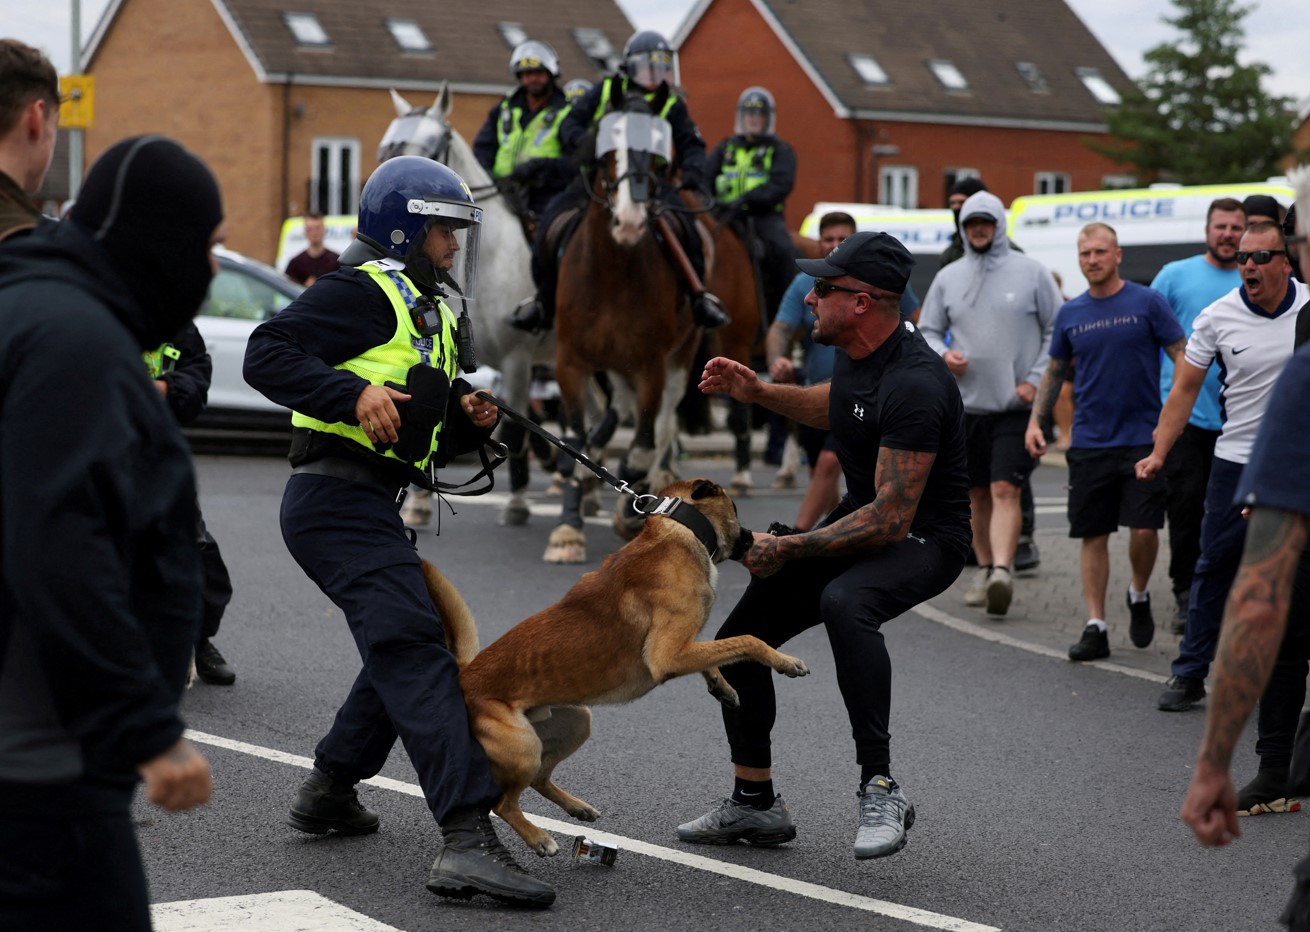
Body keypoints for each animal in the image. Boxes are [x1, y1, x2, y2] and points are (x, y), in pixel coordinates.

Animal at [382, 87, 552, 529]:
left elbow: (514, 430)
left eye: (431, 146)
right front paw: (421, 501)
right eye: (386, 145)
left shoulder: (517, 360)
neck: (491, 258)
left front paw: (517, 501)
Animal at [421, 477, 806, 854]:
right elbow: (746, 640)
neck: (677, 529)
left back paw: (577, 807)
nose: (756, 538)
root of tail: (466, 675)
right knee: (503, 803)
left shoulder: (685, 648)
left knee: (540, 779)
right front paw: (785, 661)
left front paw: (722, 686)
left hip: (576, 721)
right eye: (735, 508)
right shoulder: (669, 655)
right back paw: (538, 838)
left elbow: (716, 653)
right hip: (523, 746)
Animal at [542, 96, 707, 561]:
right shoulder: (570, 363)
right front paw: (567, 531)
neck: (614, 272)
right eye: (607, 148)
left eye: (657, 152)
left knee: (662, 429)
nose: (631, 222)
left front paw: (633, 513)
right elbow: (574, 444)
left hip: (678, 359)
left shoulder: (651, 367)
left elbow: (641, 450)